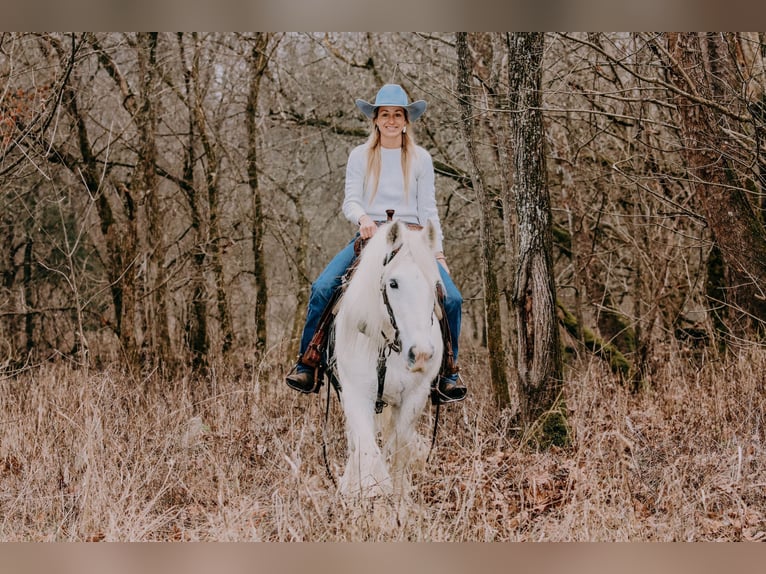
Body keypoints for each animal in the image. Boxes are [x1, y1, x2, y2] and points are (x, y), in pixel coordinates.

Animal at [332, 220, 448, 500]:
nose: (421, 354)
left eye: (435, 285)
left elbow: (397, 451)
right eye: (393, 283)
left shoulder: (414, 398)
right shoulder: (355, 394)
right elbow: (367, 448)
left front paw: (399, 498)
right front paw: (365, 492)